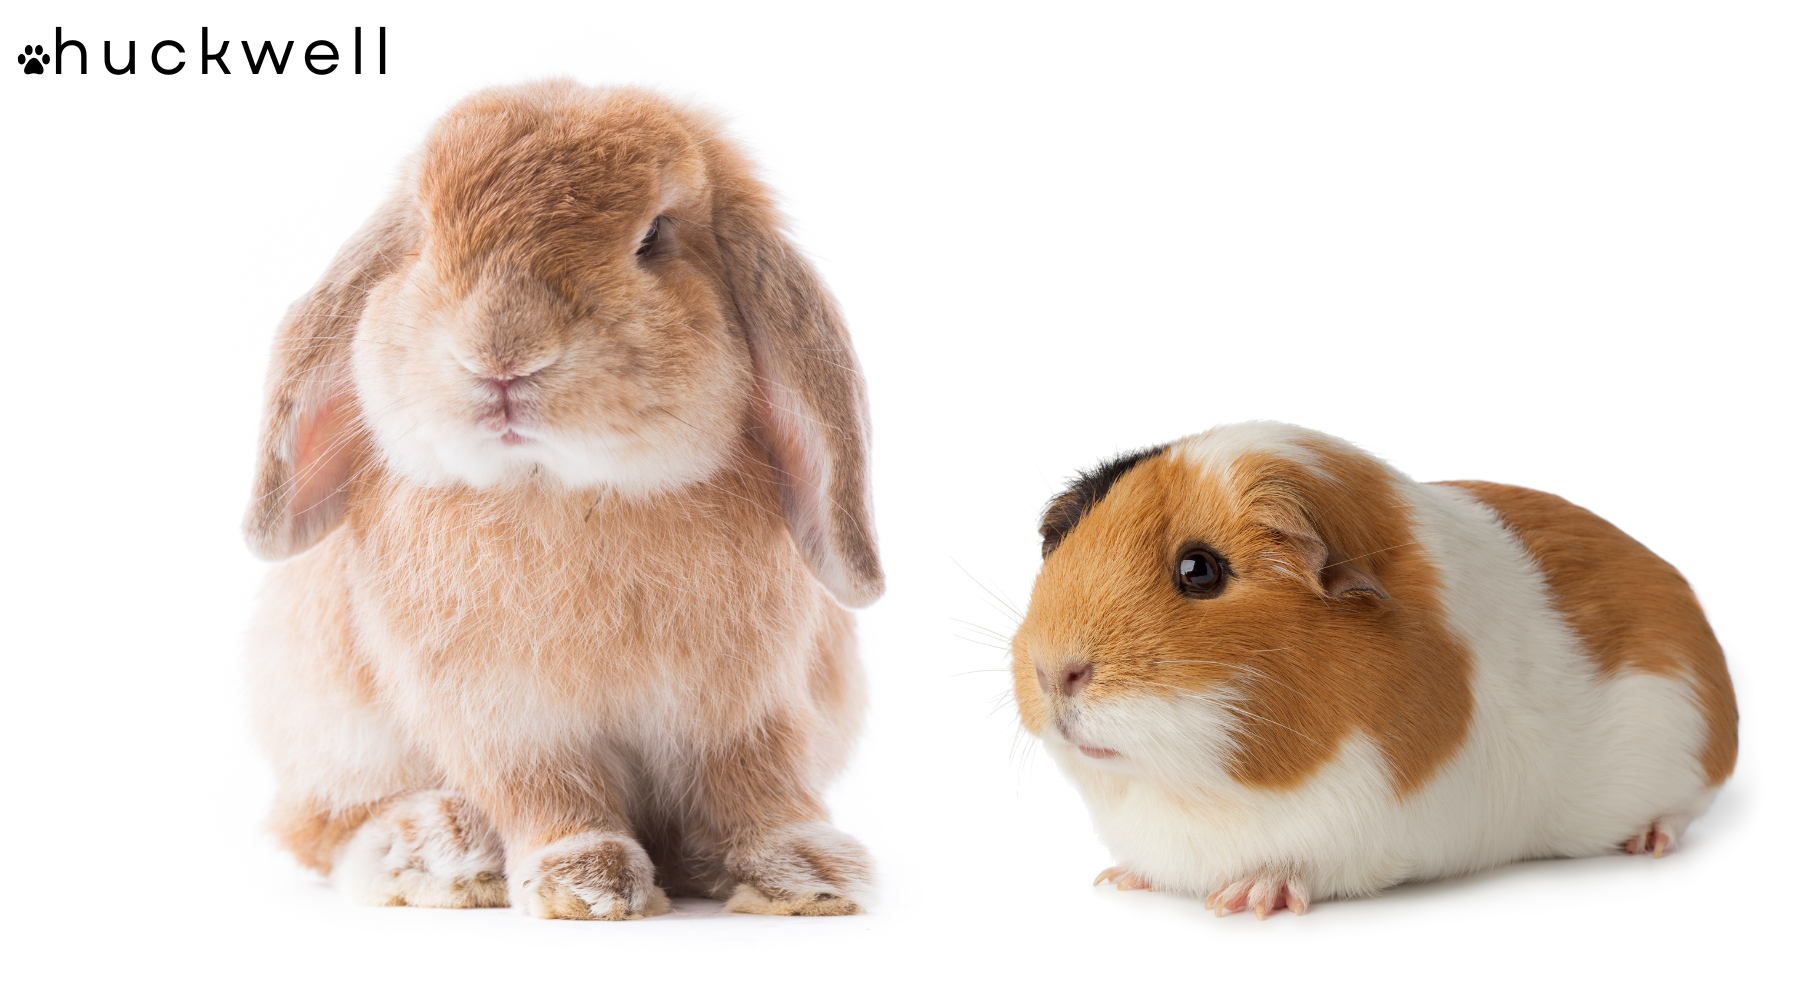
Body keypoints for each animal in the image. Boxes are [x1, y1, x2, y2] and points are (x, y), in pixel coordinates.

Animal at [243, 80, 884, 920]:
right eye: (423, 237)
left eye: (654, 238)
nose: (500, 355)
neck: (568, 491)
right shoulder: (508, 723)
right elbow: (547, 794)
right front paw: (587, 883)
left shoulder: (748, 711)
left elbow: (757, 785)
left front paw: (808, 874)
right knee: (323, 826)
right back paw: (437, 848)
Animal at [1010, 421, 1735, 917]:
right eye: (1063, 543)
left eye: (1200, 570)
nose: (1052, 671)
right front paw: (1122, 880)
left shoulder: (1367, 834)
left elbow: (1304, 866)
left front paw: (1247, 898)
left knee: (1684, 811)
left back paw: (1647, 842)